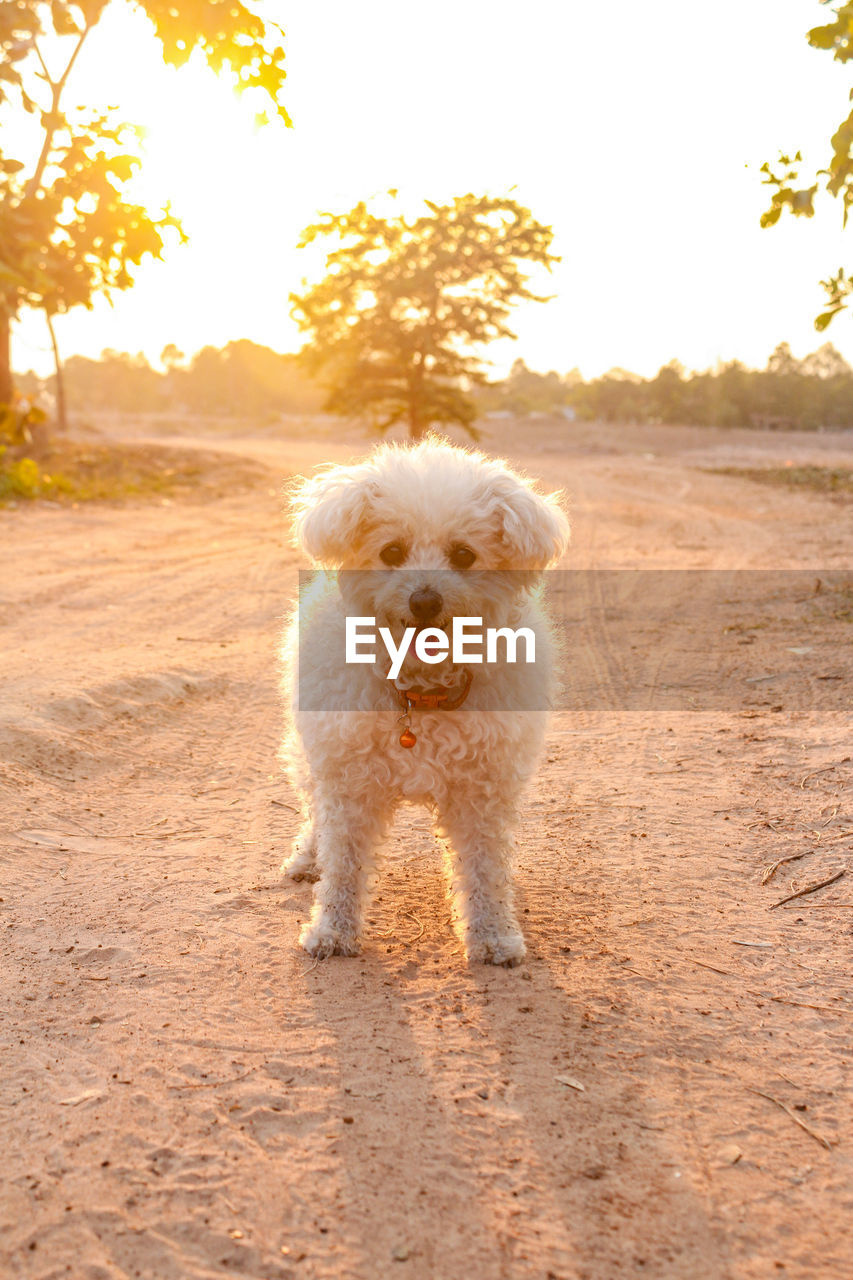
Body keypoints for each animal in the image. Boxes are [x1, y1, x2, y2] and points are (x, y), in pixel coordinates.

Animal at [280, 435, 563, 962]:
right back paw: (308, 858)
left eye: (464, 555)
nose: (425, 600)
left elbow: (484, 869)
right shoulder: (350, 785)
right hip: (311, 757)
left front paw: (494, 934)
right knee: (314, 814)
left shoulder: (482, 791)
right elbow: (344, 864)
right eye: (391, 551)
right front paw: (332, 931)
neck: (420, 691)